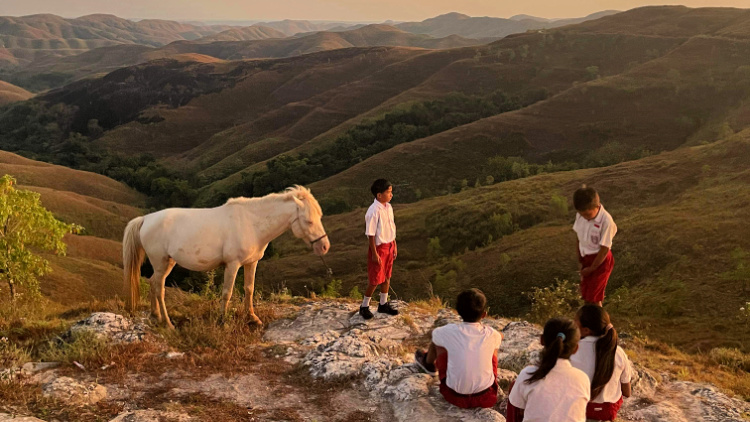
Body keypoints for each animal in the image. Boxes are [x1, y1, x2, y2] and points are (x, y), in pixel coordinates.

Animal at [122, 186, 328, 328]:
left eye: (320, 216)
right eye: (309, 221)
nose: (324, 246)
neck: (251, 223)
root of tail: (146, 219)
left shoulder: (251, 263)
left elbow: (249, 289)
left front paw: (253, 318)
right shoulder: (233, 264)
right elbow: (227, 293)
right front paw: (223, 321)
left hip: (167, 263)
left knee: (152, 282)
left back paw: (155, 316)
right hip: (161, 262)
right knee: (159, 288)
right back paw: (168, 323)